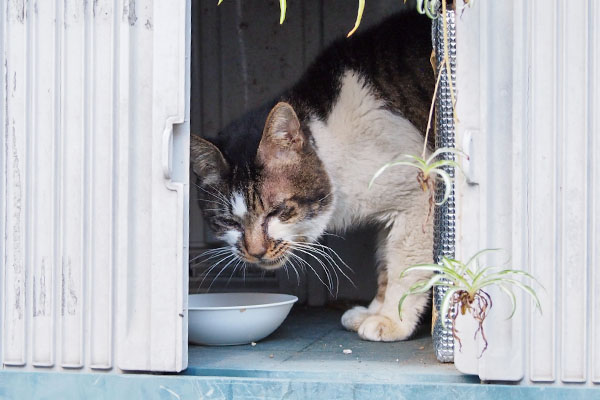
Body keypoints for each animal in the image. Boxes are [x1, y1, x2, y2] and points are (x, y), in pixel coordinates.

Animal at [192, 14, 436, 342]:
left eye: (279, 210)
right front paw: (373, 310)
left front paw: (391, 321)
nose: (256, 252)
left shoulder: (420, 195)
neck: (331, 146)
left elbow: (403, 264)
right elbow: (385, 260)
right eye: (228, 222)